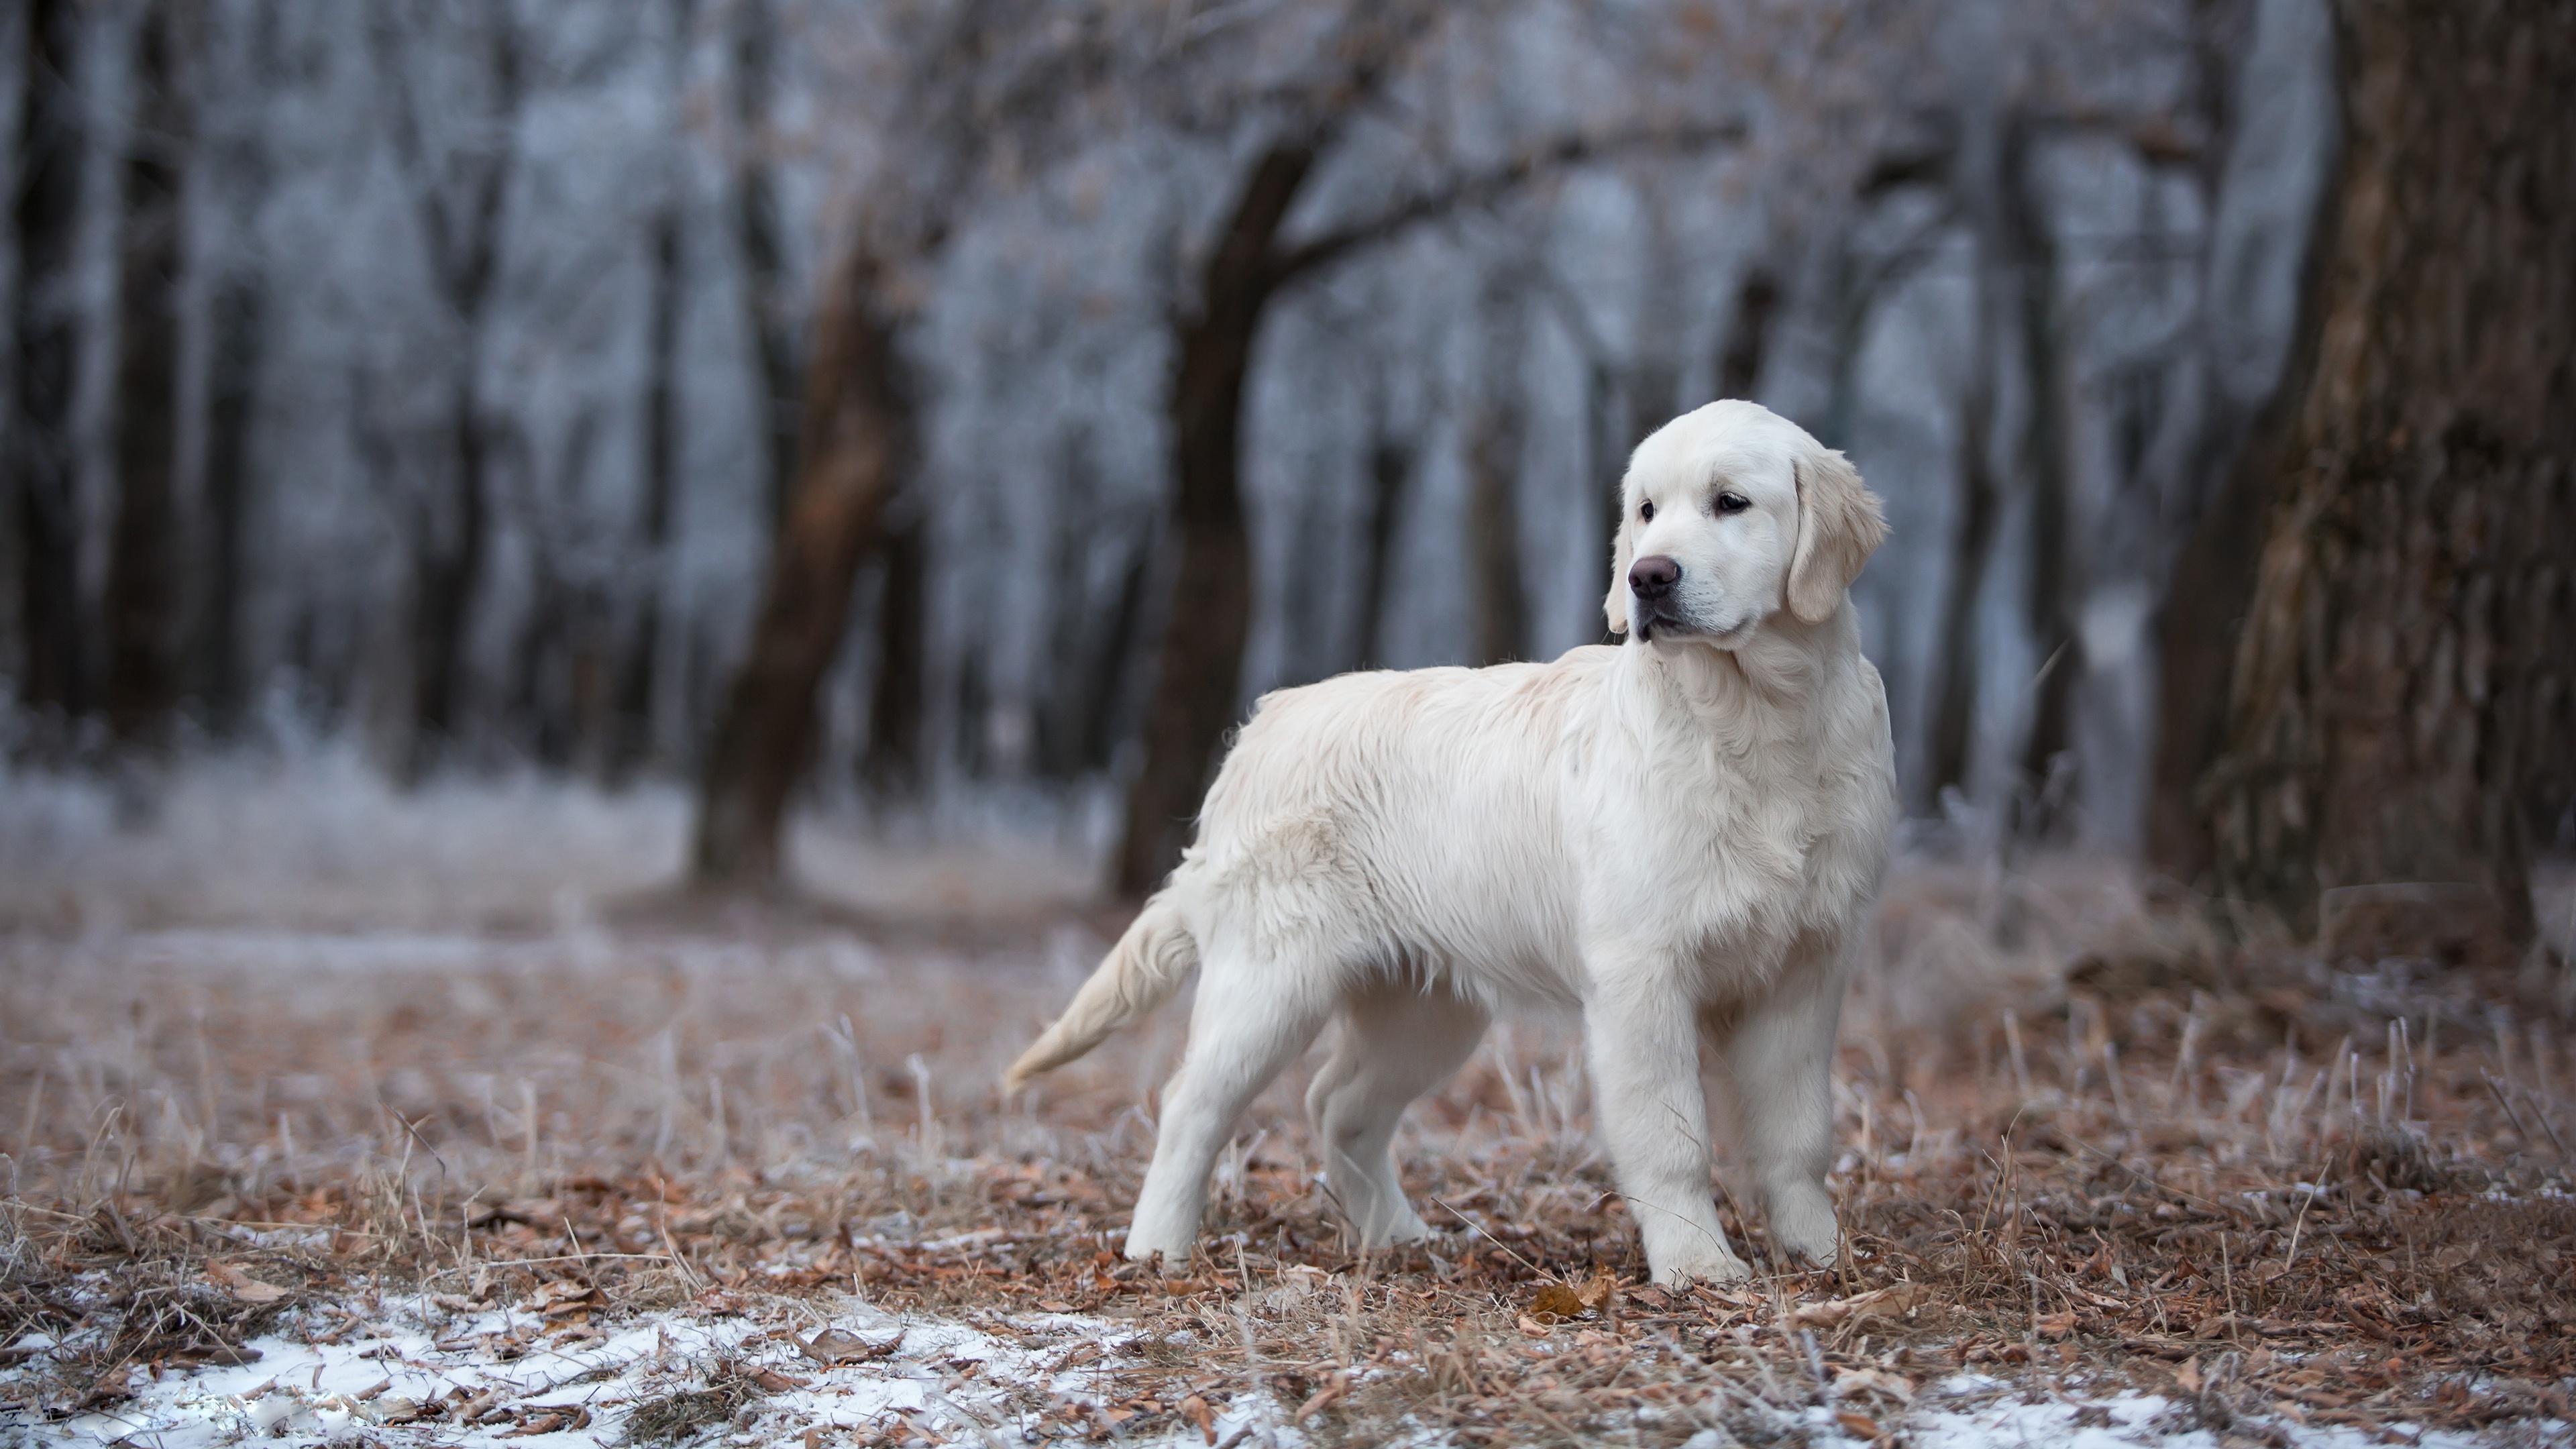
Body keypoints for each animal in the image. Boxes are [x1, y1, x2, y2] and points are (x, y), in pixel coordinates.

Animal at [1014, 396, 1906, 1284]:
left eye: (1731, 503)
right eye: (1647, 512)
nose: (1647, 578)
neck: (1755, 722)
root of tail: (1261, 726)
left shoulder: (1808, 967)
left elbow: (1798, 1134)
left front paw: (1821, 1254)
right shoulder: (1641, 974)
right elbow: (1672, 1134)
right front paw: (1699, 1267)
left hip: (1424, 1007)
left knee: (1338, 1105)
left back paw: (1397, 1234)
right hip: (1268, 983)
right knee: (1191, 1106)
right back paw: (1157, 1247)